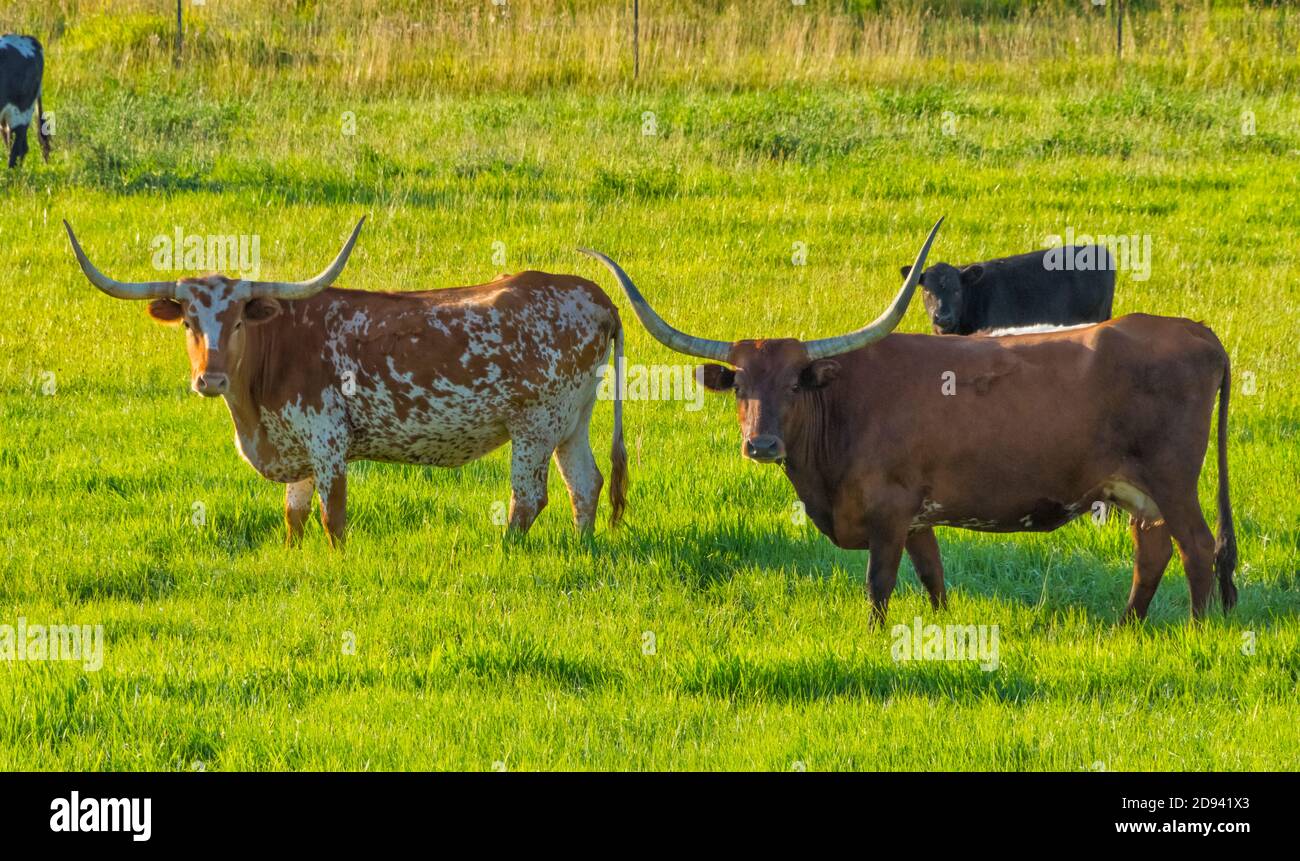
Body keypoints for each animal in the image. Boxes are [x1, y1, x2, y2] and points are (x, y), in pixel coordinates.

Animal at [69, 221, 629, 546]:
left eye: (238, 321)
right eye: (188, 321)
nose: (210, 377)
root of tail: (595, 295)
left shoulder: (328, 441)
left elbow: (331, 515)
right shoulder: (294, 444)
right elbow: (294, 514)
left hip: (534, 426)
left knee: (528, 498)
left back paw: (507, 554)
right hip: (571, 422)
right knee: (585, 486)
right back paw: (582, 550)